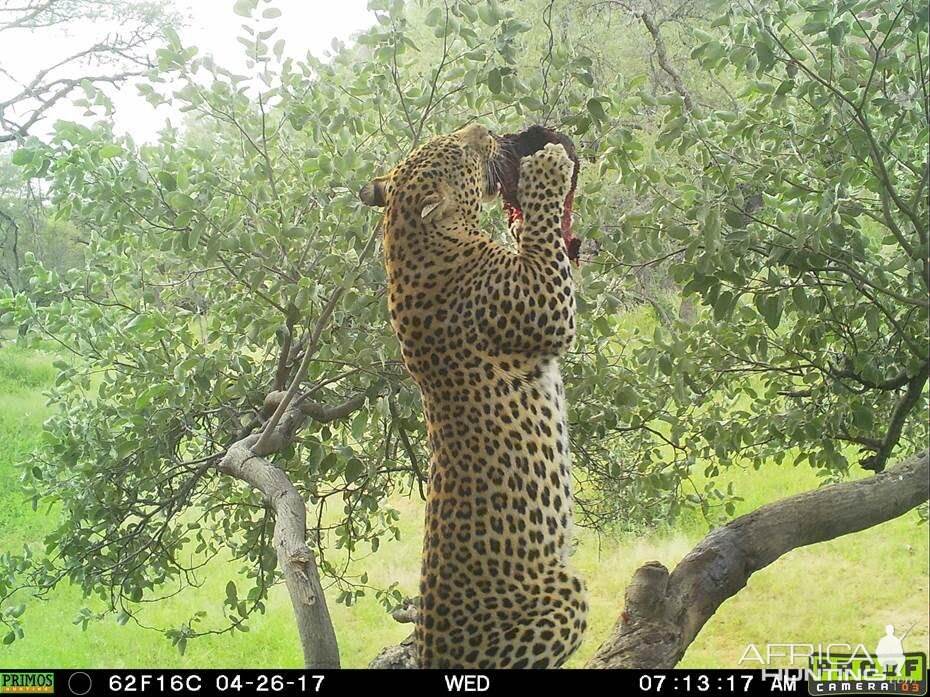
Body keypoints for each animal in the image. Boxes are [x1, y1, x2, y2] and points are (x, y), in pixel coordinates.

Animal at [358, 122, 584, 668]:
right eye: (461, 148)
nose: (482, 127)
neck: (407, 239)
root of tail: (433, 654)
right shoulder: (545, 302)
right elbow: (544, 241)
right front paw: (545, 169)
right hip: (565, 595)